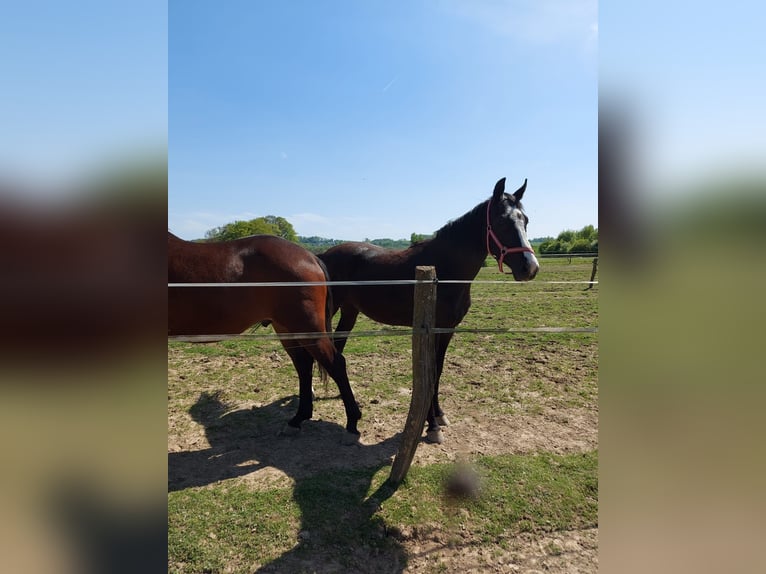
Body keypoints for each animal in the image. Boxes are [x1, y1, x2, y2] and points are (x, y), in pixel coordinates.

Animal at [167, 232, 362, 442]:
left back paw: (351, 422)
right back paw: (297, 420)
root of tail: (310, 257)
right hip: (287, 329)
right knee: (304, 366)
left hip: (308, 329)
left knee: (335, 364)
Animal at [318, 177, 539, 443]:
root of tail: (323, 256)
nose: (530, 268)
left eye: (525, 221)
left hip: (350, 311)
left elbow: (439, 370)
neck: (445, 270)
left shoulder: (447, 330)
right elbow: (431, 372)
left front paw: (440, 416)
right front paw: (432, 425)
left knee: (337, 349)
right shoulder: (432, 330)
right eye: (502, 222)